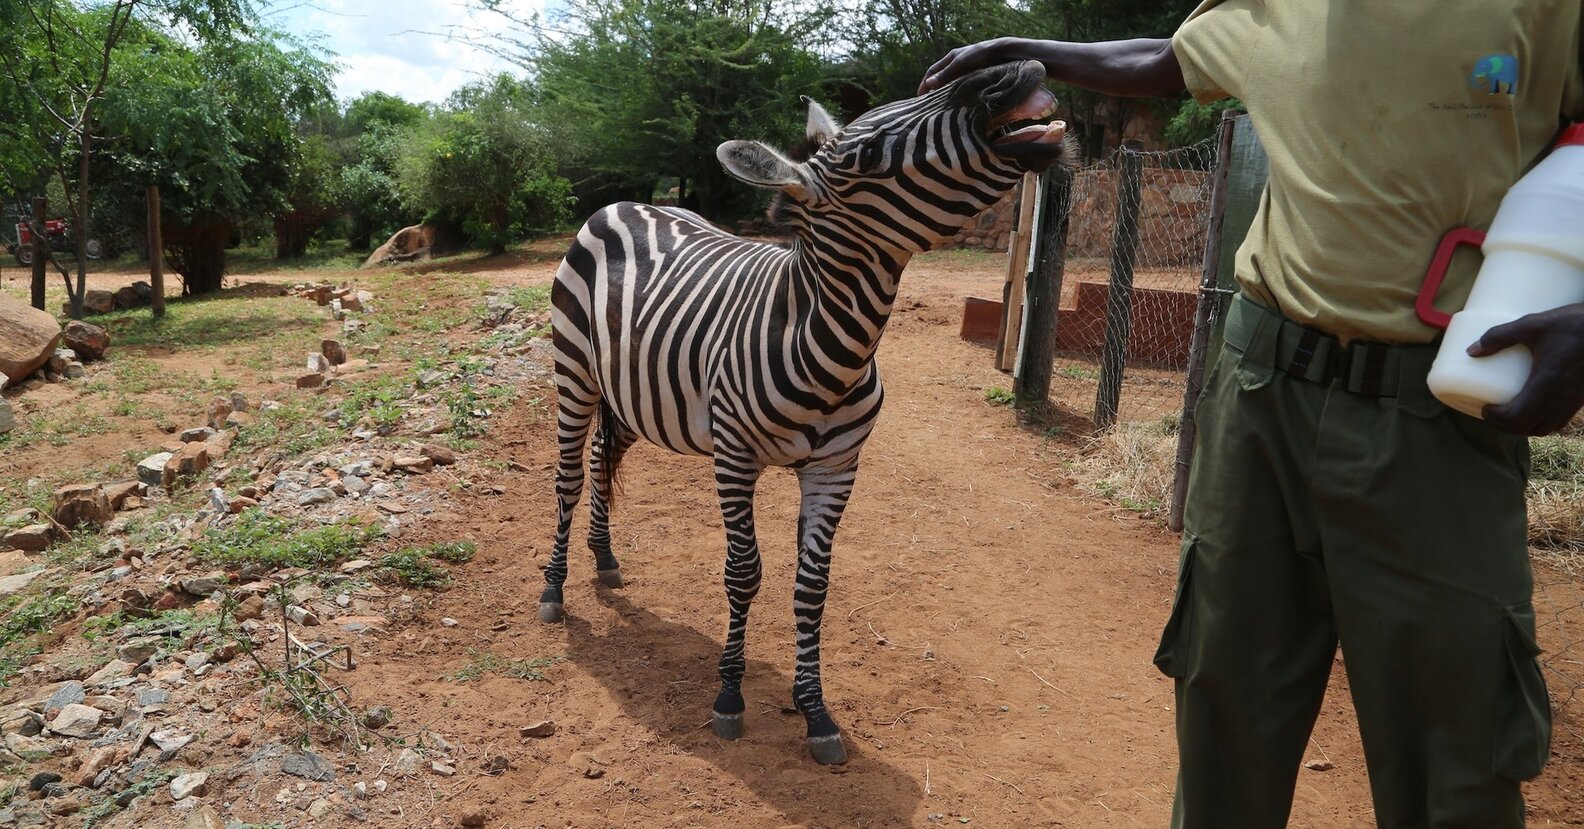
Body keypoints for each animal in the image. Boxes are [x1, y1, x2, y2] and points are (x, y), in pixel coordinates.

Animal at [538, 59, 1072, 765]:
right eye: (869, 155)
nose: (1018, 68)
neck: (824, 343)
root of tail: (623, 203)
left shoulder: (836, 467)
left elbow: (812, 586)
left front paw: (814, 709)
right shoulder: (735, 458)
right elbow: (744, 574)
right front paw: (729, 697)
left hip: (629, 389)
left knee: (605, 456)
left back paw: (603, 559)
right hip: (573, 370)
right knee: (570, 475)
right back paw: (553, 586)